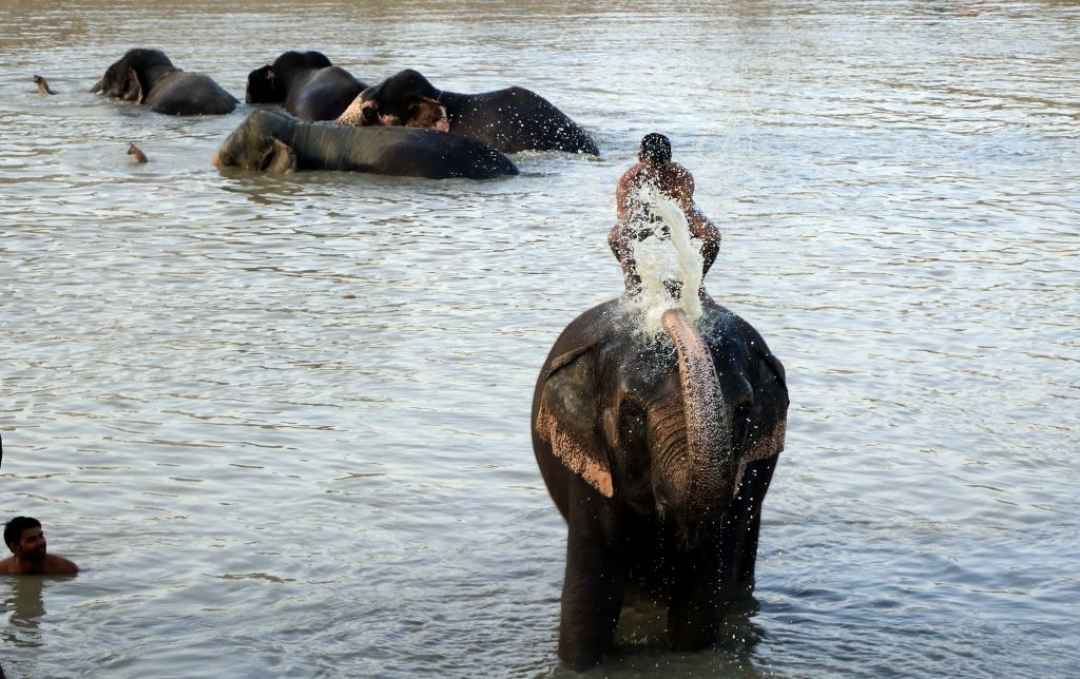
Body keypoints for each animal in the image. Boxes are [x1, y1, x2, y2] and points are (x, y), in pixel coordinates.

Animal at [533, 295, 794, 669]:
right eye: (632, 412)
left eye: (744, 409)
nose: (674, 297)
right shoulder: (591, 470)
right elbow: (589, 597)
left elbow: (700, 600)